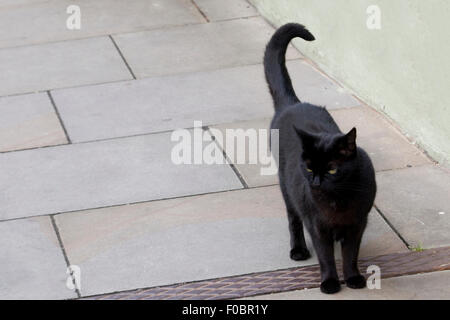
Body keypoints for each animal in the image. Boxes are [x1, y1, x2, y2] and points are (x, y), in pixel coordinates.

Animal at [264, 23, 376, 294]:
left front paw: (353, 278)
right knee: (293, 220)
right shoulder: (317, 225)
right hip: (287, 189)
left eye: (332, 169)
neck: (339, 201)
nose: (315, 181)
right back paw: (298, 250)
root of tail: (292, 104)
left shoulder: (358, 224)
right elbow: (326, 257)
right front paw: (330, 283)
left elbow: (350, 254)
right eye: (308, 167)